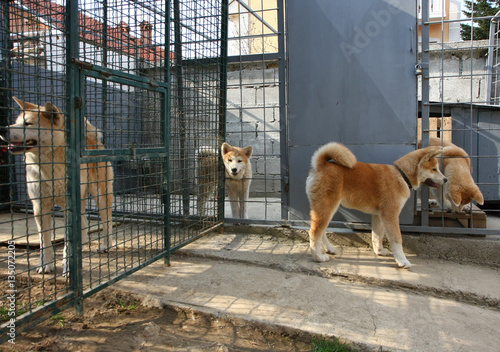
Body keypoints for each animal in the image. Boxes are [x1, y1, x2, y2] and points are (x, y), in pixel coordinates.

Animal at [0, 97, 114, 276]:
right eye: (16, 122)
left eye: (28, 123)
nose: (3, 129)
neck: (48, 167)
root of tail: (92, 139)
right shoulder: (39, 207)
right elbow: (44, 241)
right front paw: (46, 264)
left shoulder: (69, 206)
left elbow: (68, 241)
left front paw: (68, 266)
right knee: (83, 222)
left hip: (101, 196)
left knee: (107, 221)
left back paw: (106, 245)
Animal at [306, 142, 448, 268]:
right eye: (434, 169)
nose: (446, 179)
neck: (402, 175)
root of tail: (320, 164)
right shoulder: (390, 215)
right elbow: (397, 239)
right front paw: (402, 261)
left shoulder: (379, 215)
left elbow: (377, 235)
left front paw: (379, 251)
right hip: (326, 208)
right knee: (314, 233)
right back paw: (318, 257)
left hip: (327, 210)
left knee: (322, 232)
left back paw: (329, 249)